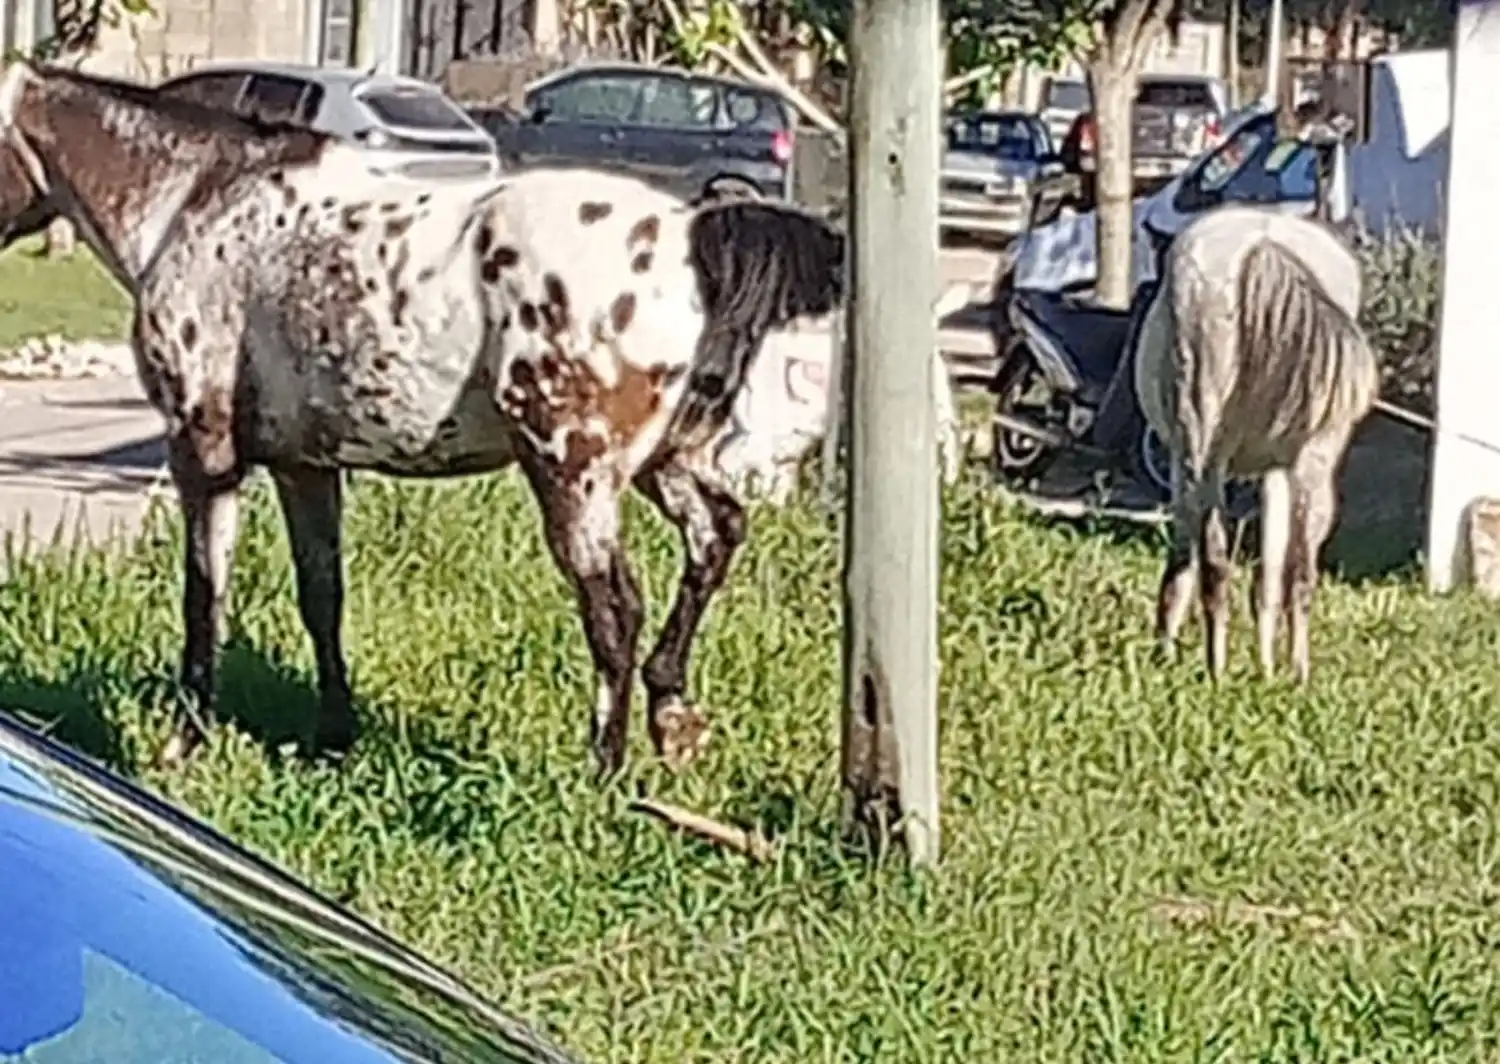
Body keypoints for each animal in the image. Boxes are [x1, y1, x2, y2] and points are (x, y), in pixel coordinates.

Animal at [0, 61, 844, 777]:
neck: (194, 201)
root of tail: (691, 240)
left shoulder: (203, 453)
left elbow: (204, 596)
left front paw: (183, 743)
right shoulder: (306, 466)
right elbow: (322, 597)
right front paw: (332, 736)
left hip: (572, 475)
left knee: (616, 608)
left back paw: (605, 768)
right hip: (665, 465)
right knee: (716, 538)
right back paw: (671, 716)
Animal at [1133, 204, 1378, 682]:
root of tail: (1265, 244)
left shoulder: (1182, 463)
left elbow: (1183, 559)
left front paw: (1164, 649)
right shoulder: (1276, 470)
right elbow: (1271, 570)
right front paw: (1267, 667)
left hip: (1202, 448)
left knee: (1214, 561)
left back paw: (1216, 670)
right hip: (1314, 459)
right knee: (1301, 569)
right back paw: (1297, 674)